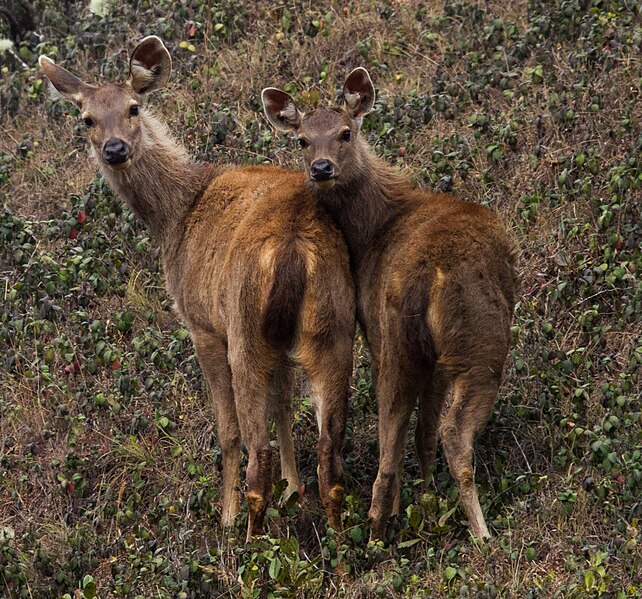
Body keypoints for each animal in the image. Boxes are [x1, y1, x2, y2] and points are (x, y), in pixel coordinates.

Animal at [38, 37, 356, 544]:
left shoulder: (202, 323)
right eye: (86, 118)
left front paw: (227, 512)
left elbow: (228, 430)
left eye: (133, 107)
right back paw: (341, 538)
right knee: (330, 444)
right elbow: (285, 408)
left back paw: (243, 540)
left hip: (245, 331)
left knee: (257, 446)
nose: (114, 148)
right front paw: (294, 488)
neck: (175, 215)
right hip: (335, 324)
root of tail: (293, 248)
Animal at [262, 68, 516, 540]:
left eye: (345, 132)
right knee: (448, 431)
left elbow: (418, 429)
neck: (372, 230)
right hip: (472, 338)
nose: (321, 168)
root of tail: (427, 277)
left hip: (409, 342)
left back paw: (382, 524)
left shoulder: (406, 346)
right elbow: (426, 425)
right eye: (302, 140)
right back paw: (478, 533)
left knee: (401, 427)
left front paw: (425, 492)